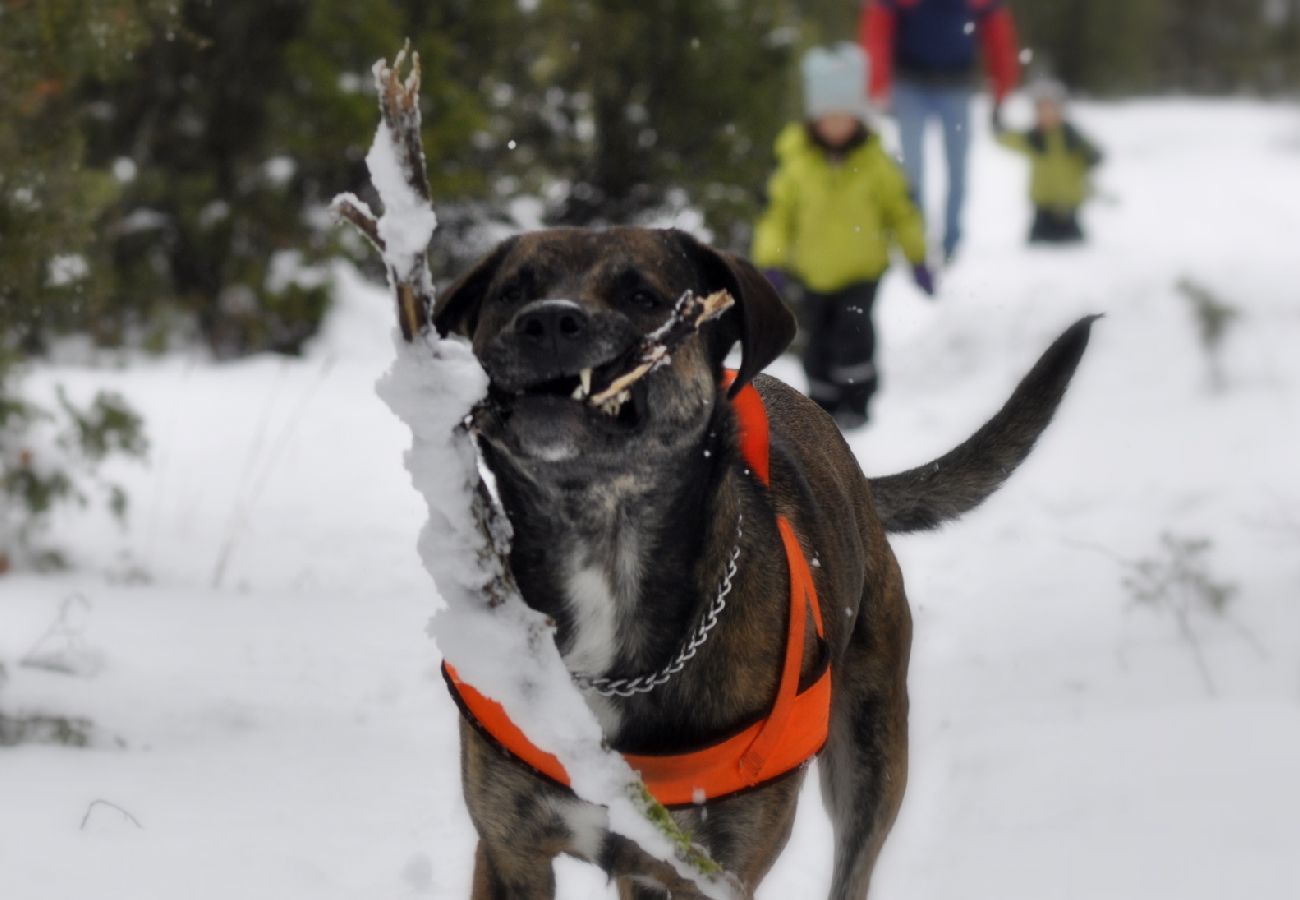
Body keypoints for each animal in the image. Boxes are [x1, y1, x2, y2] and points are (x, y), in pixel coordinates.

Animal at [436, 225, 1097, 900]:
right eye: (512, 292)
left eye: (643, 296)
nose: (547, 321)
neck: (604, 546)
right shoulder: (511, 853)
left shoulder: (715, 870)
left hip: (871, 759)